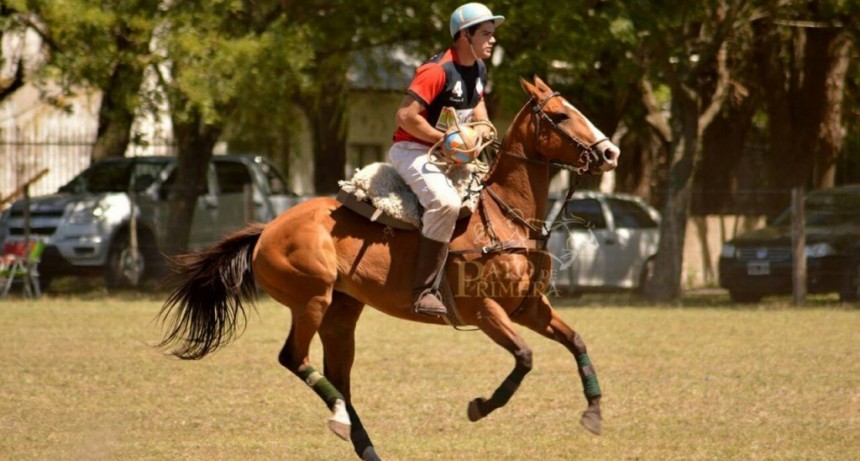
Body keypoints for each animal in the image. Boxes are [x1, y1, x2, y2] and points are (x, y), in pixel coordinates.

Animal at [158, 76, 620, 460]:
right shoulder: (484, 310)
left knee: (337, 375)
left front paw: (595, 412)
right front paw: (480, 407)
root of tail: (268, 228)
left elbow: (575, 340)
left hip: (342, 311)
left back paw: (364, 443)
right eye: (561, 115)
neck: (508, 216)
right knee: (293, 357)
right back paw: (339, 418)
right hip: (311, 297)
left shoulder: (528, 307)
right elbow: (524, 357)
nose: (610, 151)